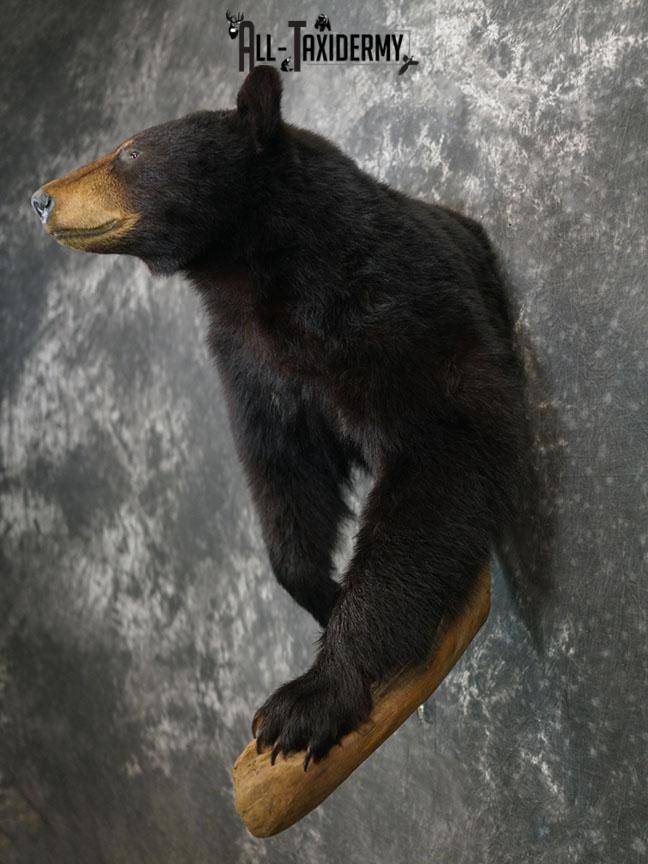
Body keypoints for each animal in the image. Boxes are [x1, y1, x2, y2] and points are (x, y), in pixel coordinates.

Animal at [31, 65, 526, 769]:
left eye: (129, 152)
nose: (39, 199)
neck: (260, 280)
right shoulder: (252, 364)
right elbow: (286, 473)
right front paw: (321, 593)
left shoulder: (390, 311)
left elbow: (439, 449)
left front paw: (309, 700)